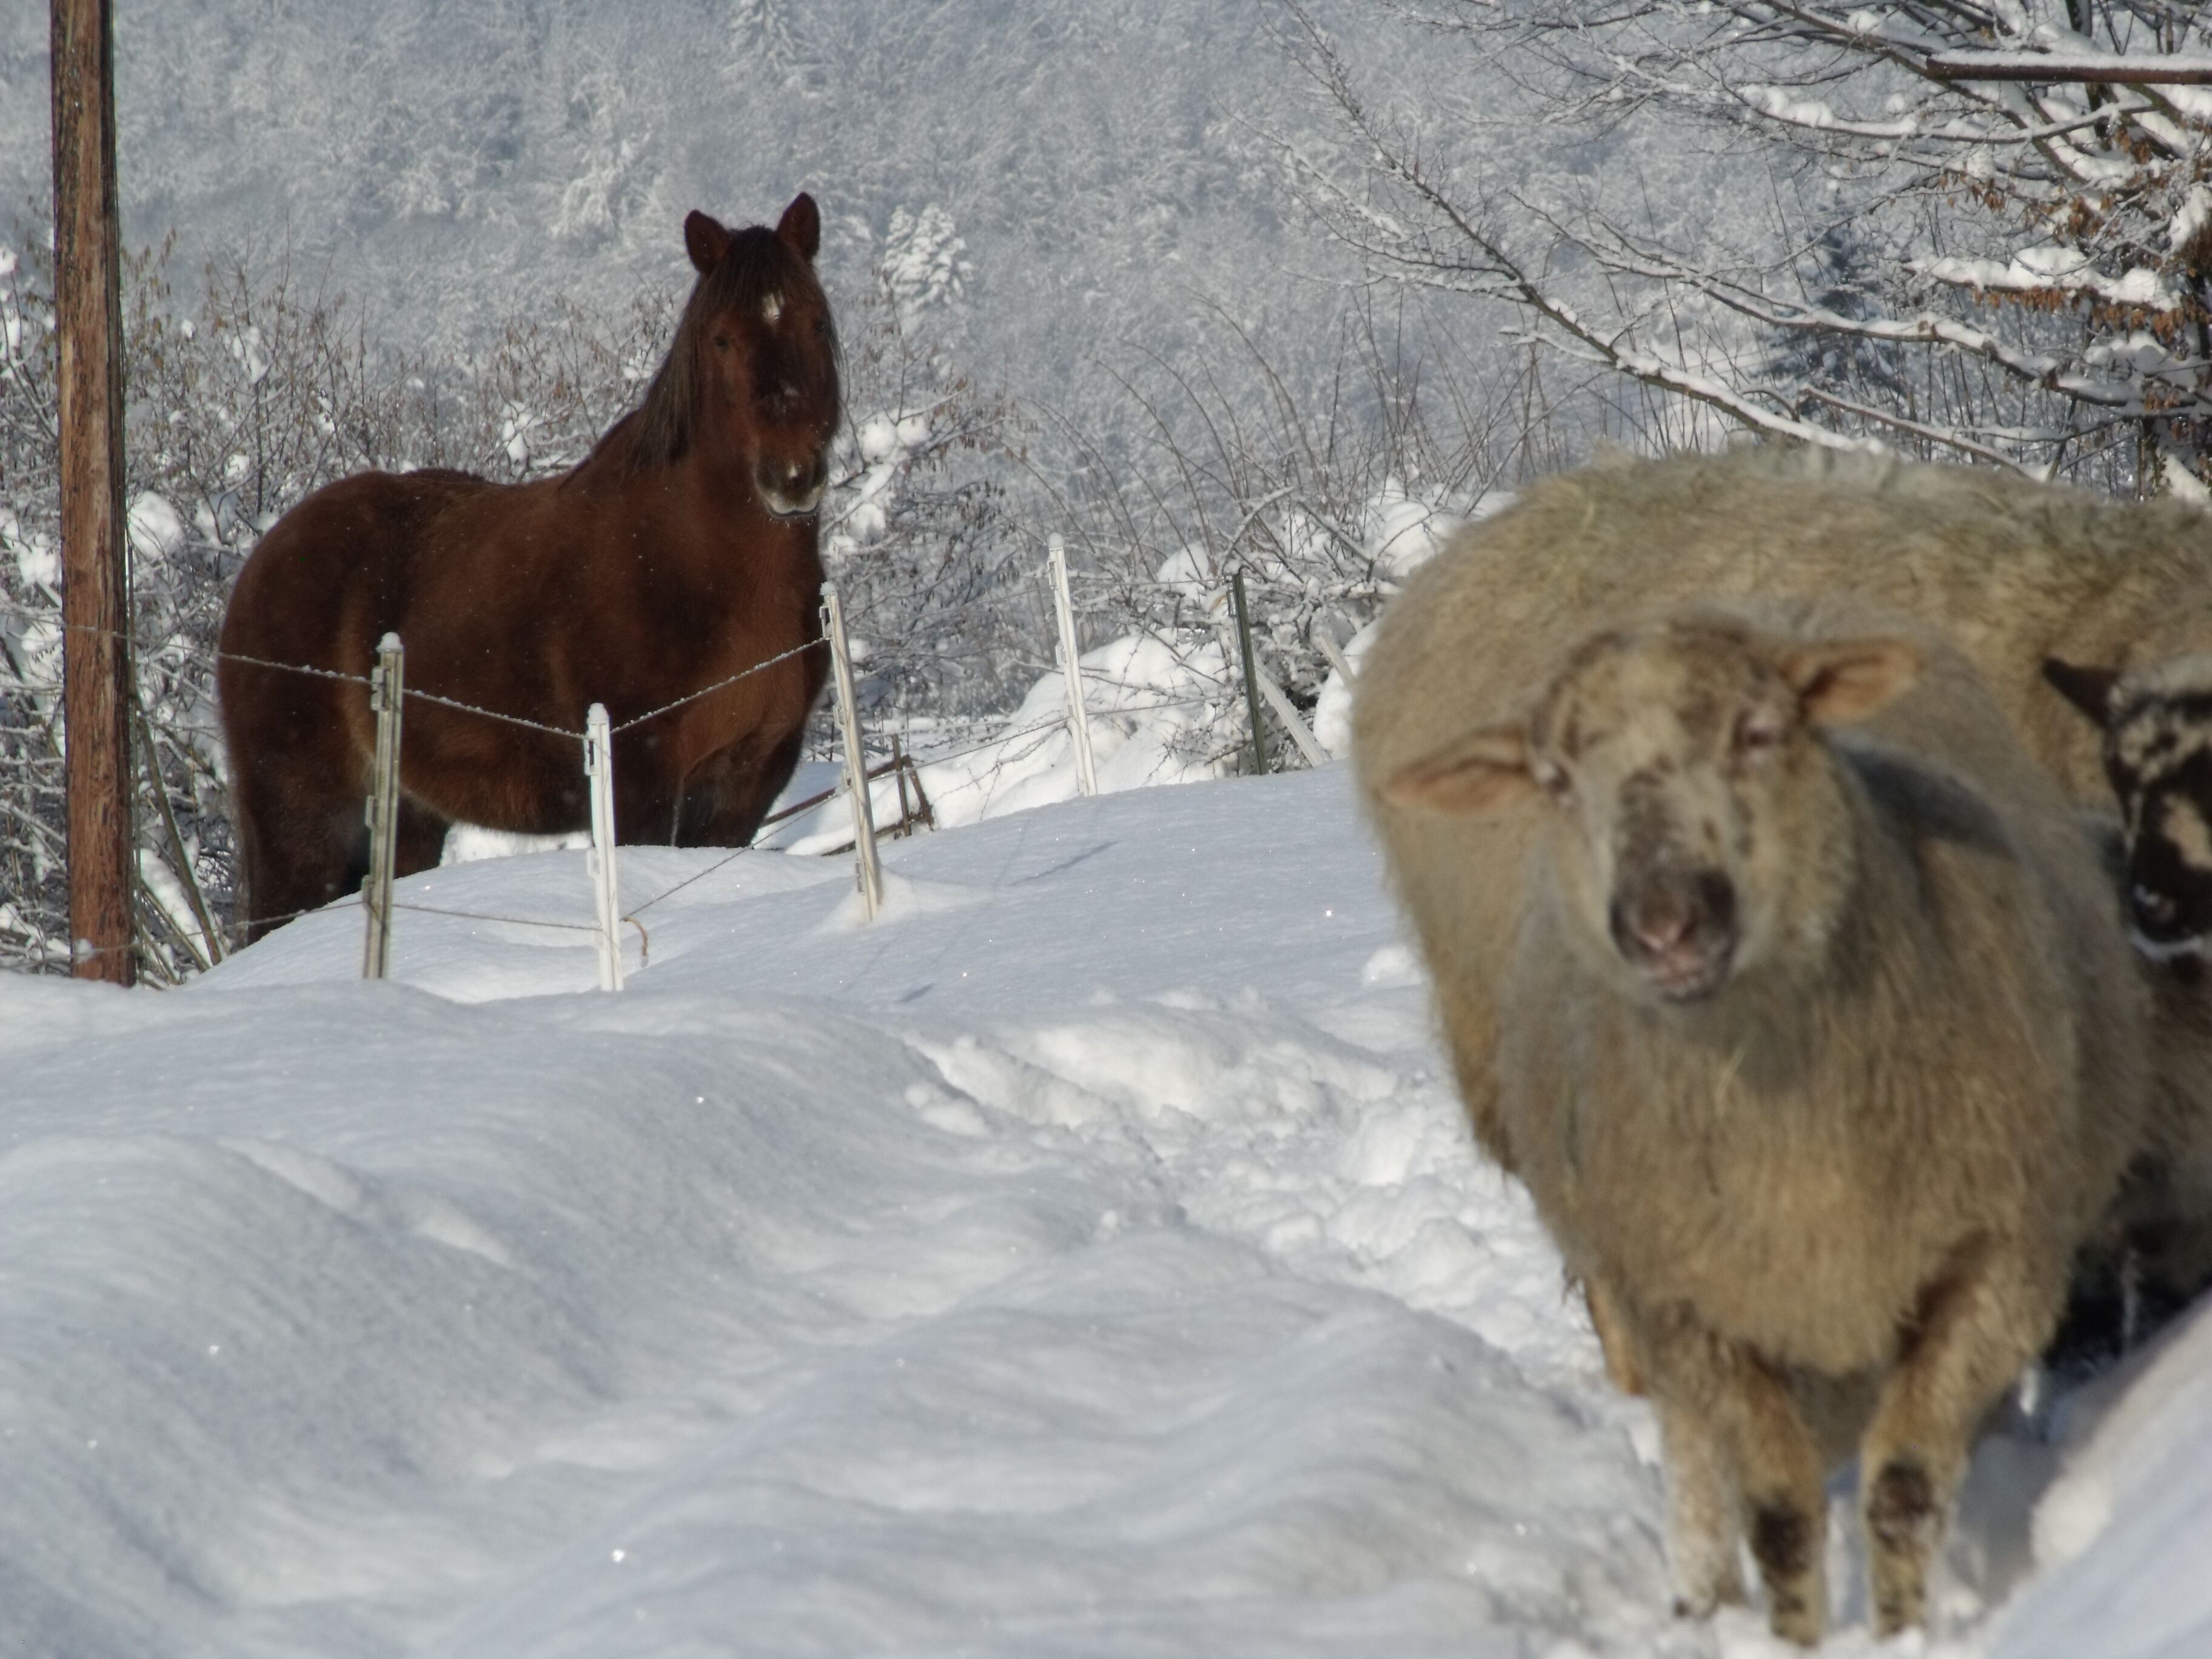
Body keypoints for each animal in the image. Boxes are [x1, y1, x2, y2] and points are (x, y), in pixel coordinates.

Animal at [217, 194, 840, 941]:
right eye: (721, 340)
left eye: (815, 320)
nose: (792, 476)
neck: (706, 571)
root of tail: (261, 563)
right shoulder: (639, 782)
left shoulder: (746, 785)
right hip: (303, 824)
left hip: (408, 818)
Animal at [1373, 598, 2149, 1644]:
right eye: (1556, 781)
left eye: (1758, 733)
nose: (1663, 925)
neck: (1791, 1143)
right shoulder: (1687, 1310)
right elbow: (1777, 1515)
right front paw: (1792, 1638)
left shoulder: (1998, 1262)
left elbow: (1904, 1487)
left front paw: (1902, 1633)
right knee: (1697, 1456)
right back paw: (1702, 1598)